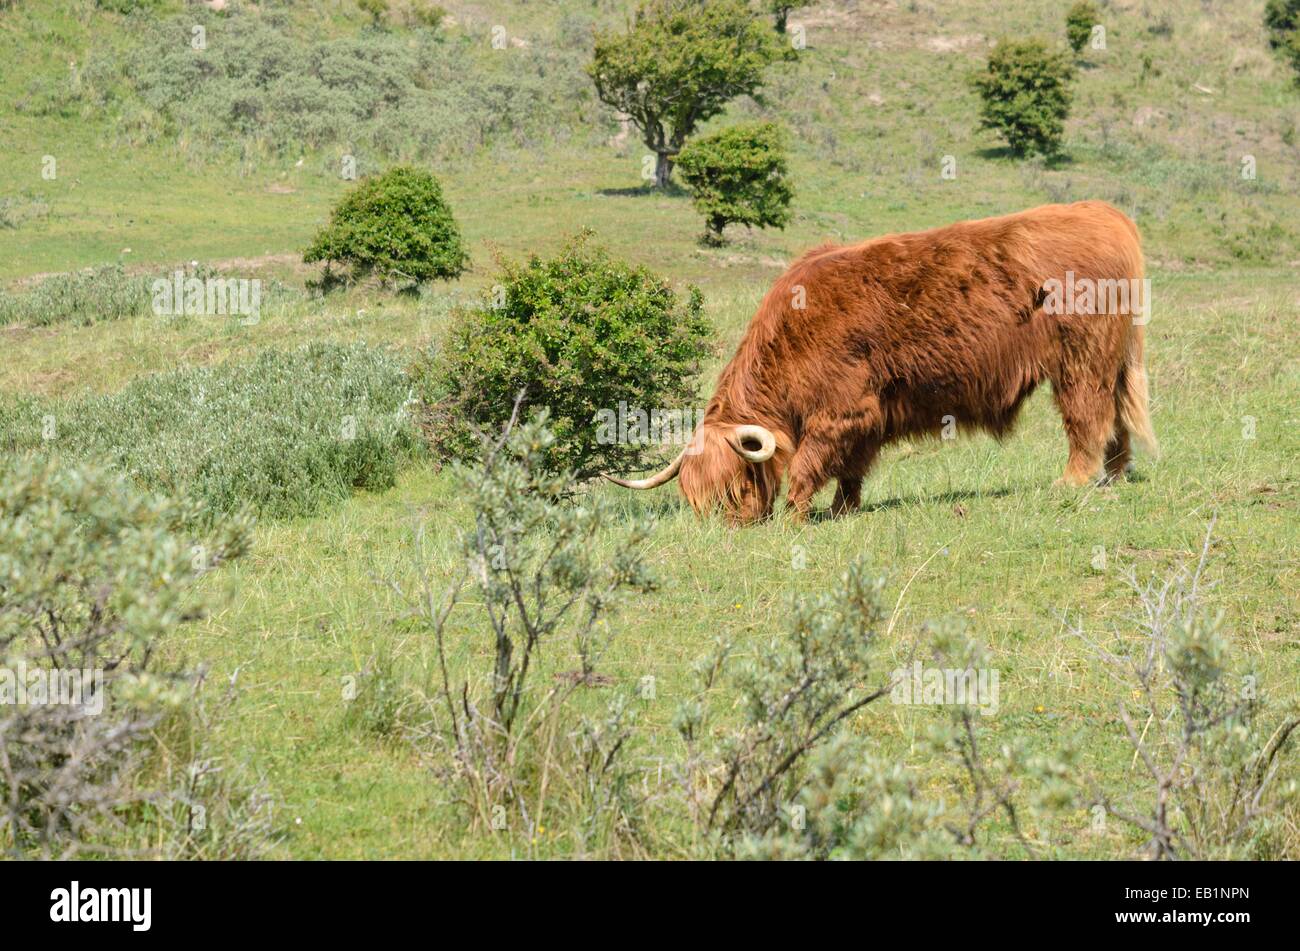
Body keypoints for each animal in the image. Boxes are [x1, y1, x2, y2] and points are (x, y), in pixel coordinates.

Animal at [605, 200, 1159, 524]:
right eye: (696, 499)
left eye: (736, 484)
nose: (732, 527)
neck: (791, 335)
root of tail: (1104, 212)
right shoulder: (867, 417)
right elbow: (851, 467)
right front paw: (842, 509)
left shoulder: (840, 410)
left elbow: (809, 464)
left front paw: (795, 515)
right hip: (1110, 361)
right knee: (1117, 420)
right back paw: (1115, 475)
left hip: (1080, 360)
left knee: (1088, 417)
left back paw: (1074, 480)